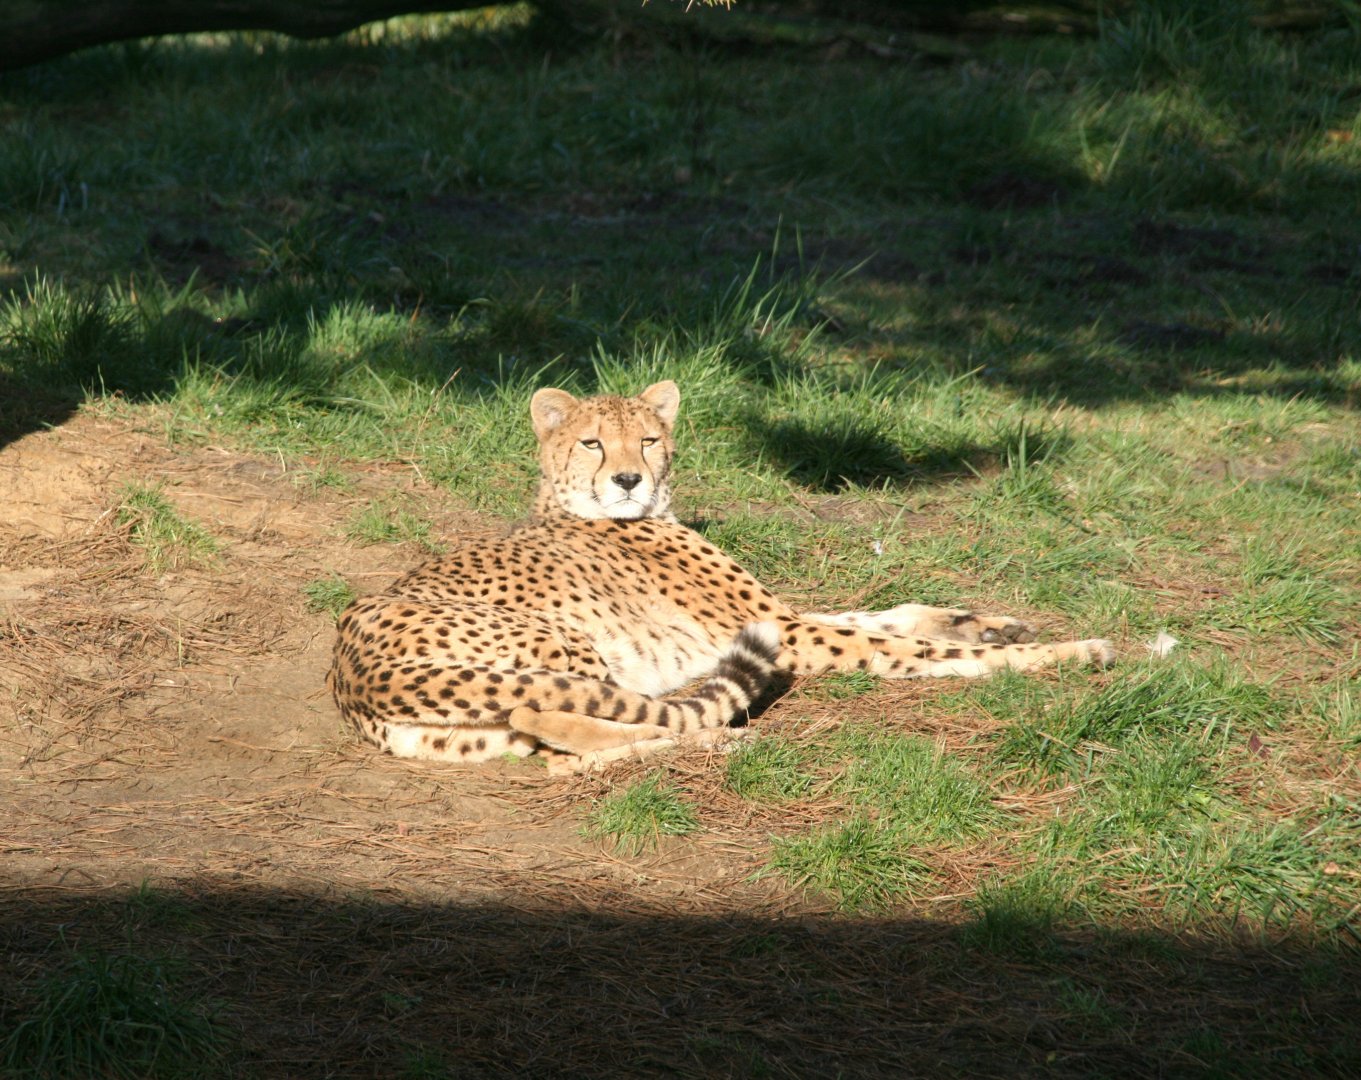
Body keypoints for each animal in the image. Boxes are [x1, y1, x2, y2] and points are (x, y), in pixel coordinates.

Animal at [328, 380, 1115, 764]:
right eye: (592, 443)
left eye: (648, 439)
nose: (627, 480)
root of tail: (349, 666)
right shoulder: (788, 634)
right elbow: (907, 647)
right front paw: (1068, 652)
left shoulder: (779, 618)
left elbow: (889, 613)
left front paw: (987, 622)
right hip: (560, 645)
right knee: (555, 716)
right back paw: (725, 736)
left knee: (552, 744)